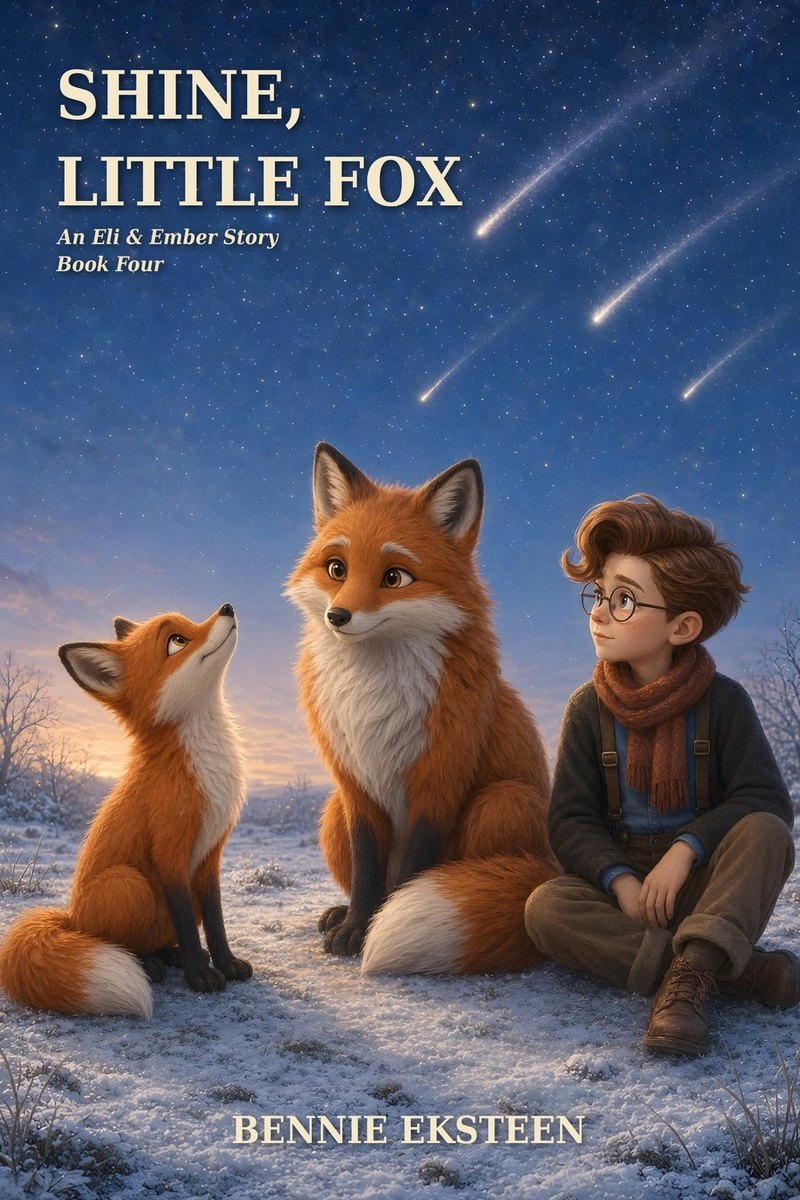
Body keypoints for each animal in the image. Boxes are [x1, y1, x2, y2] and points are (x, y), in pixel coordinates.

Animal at [0, 604, 251, 1018]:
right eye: (176, 641)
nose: (227, 607)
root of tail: (72, 919)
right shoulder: (170, 852)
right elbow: (187, 921)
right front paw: (200, 976)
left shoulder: (210, 856)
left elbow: (215, 921)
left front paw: (226, 963)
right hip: (130, 884)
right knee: (119, 943)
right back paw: (149, 964)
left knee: (161, 940)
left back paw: (169, 956)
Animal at [286, 443, 560, 975]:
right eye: (336, 569)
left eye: (394, 577)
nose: (337, 616)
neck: (373, 694)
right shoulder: (355, 787)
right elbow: (368, 871)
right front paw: (356, 925)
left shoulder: (439, 778)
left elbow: (414, 870)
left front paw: (376, 927)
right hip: (331, 815)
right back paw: (338, 914)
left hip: (502, 803)